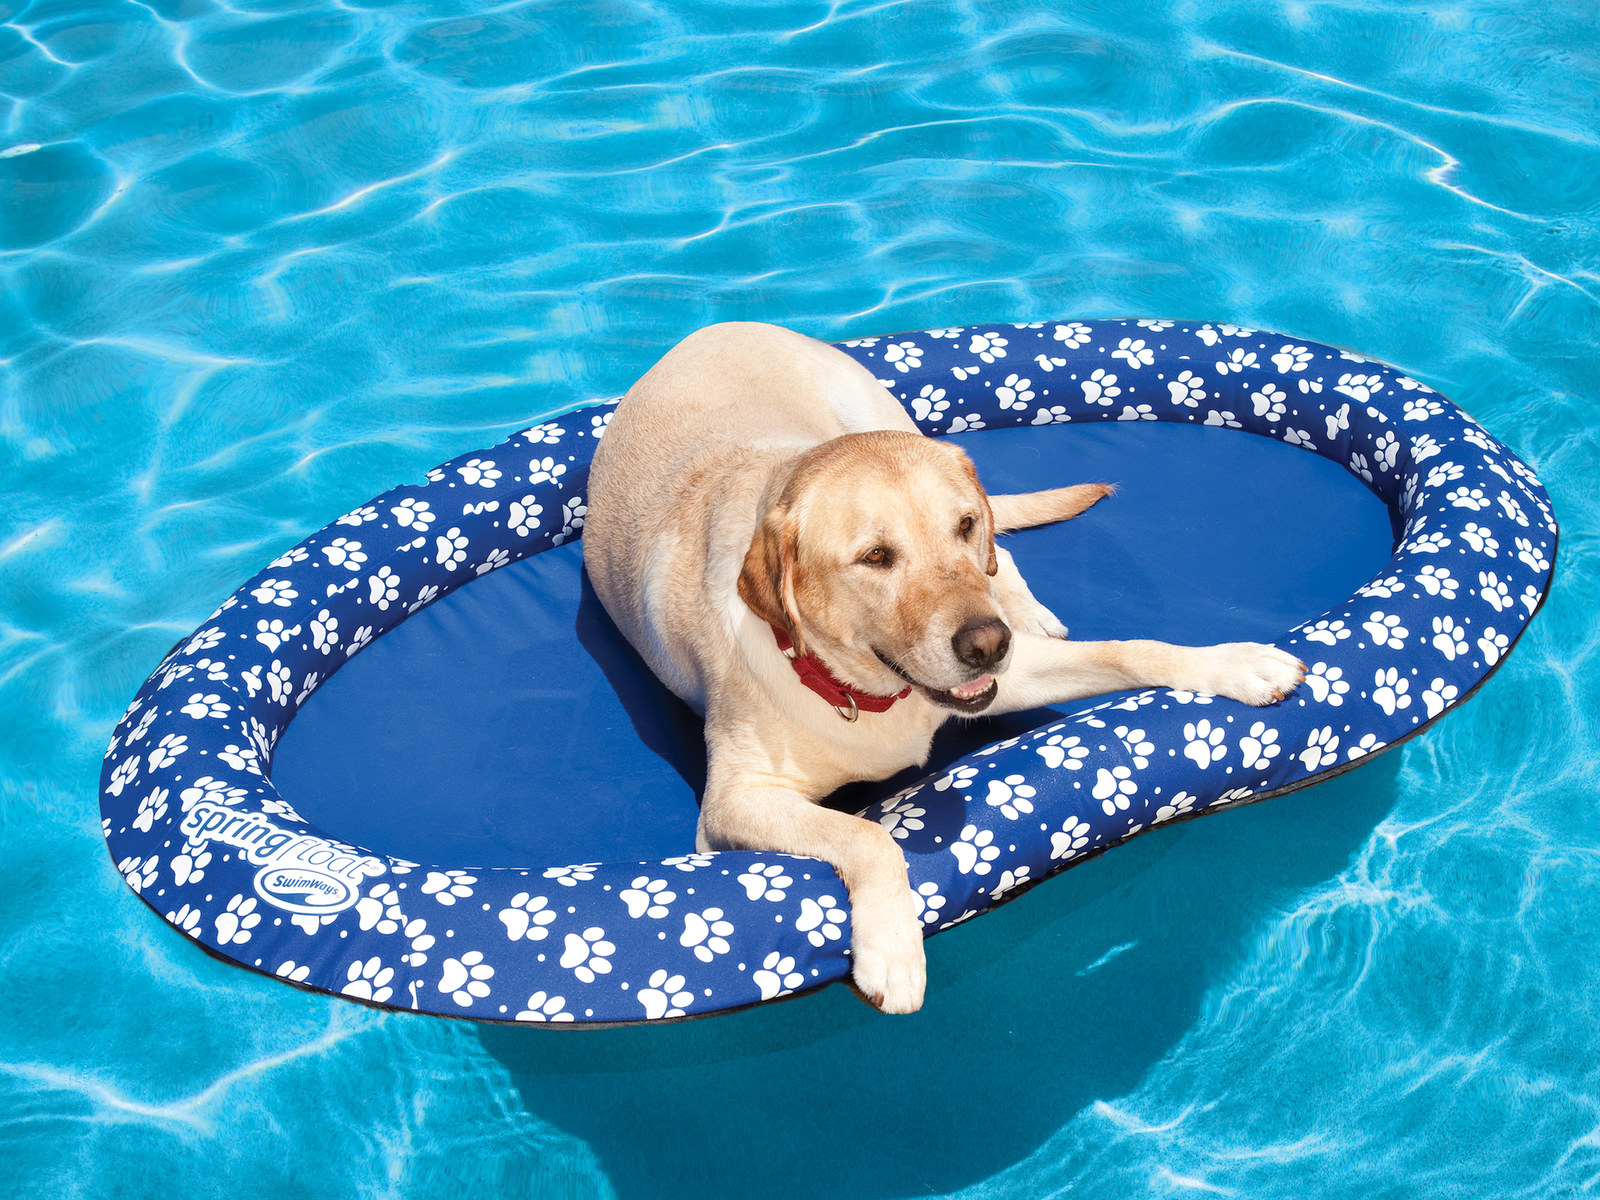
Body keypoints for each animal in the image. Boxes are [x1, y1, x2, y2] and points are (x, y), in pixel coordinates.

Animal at [582, 321, 1305, 1017]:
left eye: (961, 526)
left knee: (1006, 557)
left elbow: (1131, 648)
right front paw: (894, 952)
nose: (988, 644)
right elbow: (868, 836)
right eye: (875, 557)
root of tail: (711, 330)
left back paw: (1027, 608)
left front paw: (1235, 664)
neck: (864, 690)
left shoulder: (1006, 669)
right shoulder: (733, 804)